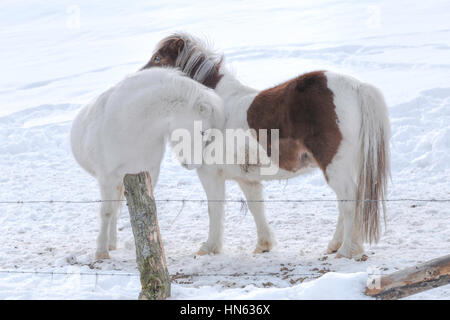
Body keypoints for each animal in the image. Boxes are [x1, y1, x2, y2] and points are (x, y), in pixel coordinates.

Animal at [71, 67, 224, 260]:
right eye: (203, 131)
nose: (194, 164)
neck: (130, 124)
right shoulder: (107, 178)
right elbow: (106, 211)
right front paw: (101, 251)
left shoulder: (148, 174)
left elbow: (144, 208)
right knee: (112, 210)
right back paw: (109, 244)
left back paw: (112, 243)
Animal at [144, 32, 390, 258]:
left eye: (158, 58)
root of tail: (357, 86)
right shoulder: (247, 178)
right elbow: (256, 207)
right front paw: (264, 244)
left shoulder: (210, 174)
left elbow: (214, 209)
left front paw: (209, 247)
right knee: (345, 203)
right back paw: (336, 245)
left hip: (335, 165)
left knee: (349, 201)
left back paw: (347, 249)